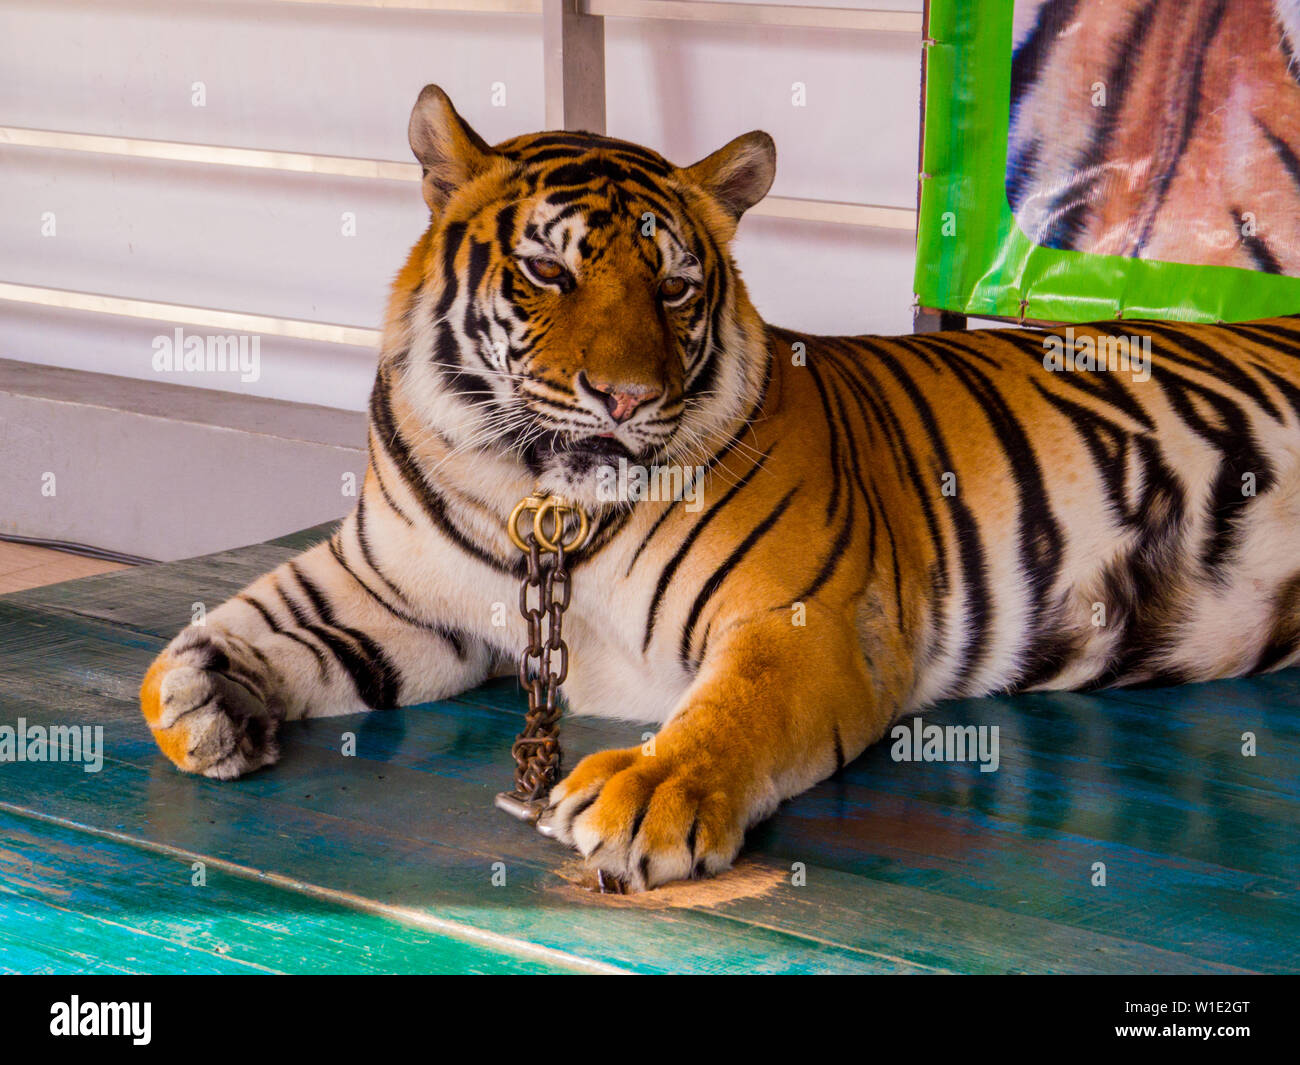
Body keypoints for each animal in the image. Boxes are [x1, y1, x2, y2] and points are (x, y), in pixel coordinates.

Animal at [139, 87, 1300, 894]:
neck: (533, 497)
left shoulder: (805, 616)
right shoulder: (389, 591)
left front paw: (647, 792)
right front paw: (207, 701)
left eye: (674, 284)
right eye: (549, 272)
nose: (624, 395)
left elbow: (734, 708)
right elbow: (207, 644)